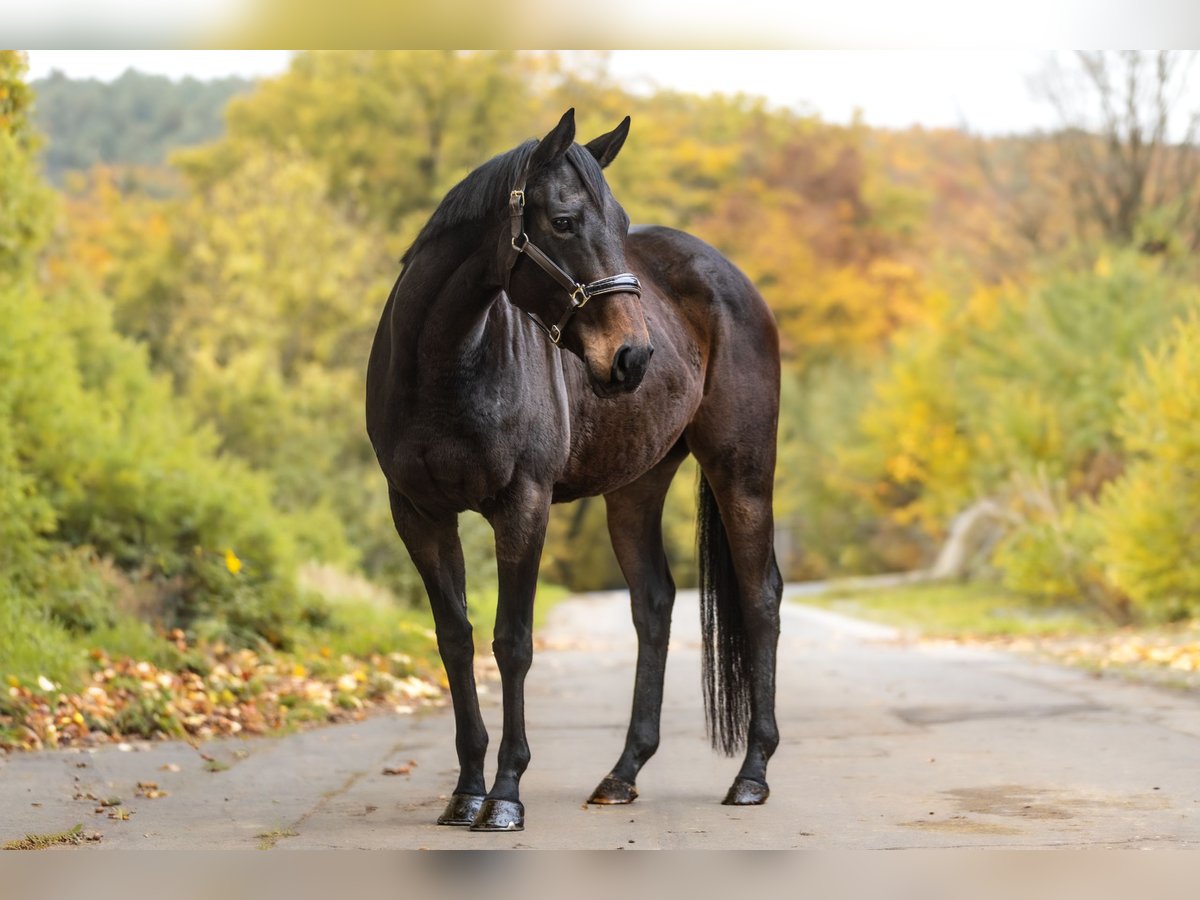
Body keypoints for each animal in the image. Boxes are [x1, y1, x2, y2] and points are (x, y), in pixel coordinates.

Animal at [366, 109, 782, 832]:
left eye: (620, 224)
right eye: (563, 221)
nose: (633, 356)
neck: (443, 363)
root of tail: (731, 277)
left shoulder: (522, 506)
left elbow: (512, 642)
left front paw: (505, 794)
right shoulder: (419, 514)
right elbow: (455, 639)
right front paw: (466, 790)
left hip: (744, 475)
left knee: (761, 599)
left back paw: (751, 774)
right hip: (636, 489)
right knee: (654, 604)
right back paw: (623, 774)